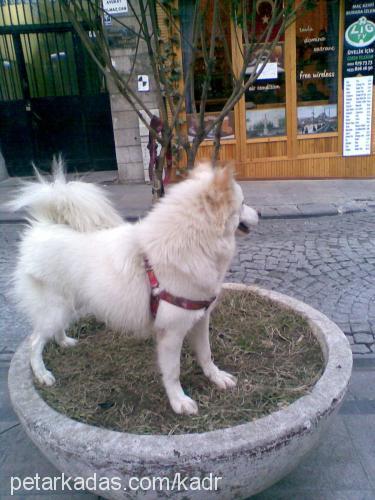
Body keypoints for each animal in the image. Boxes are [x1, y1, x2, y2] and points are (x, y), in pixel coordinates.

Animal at [9, 160, 258, 414]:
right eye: (243, 203)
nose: (259, 214)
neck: (191, 244)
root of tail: (44, 225)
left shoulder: (200, 319)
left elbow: (206, 354)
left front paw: (217, 377)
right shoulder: (171, 333)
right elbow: (173, 372)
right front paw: (179, 401)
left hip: (70, 304)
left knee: (54, 330)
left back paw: (64, 342)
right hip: (55, 309)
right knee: (35, 341)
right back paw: (42, 374)